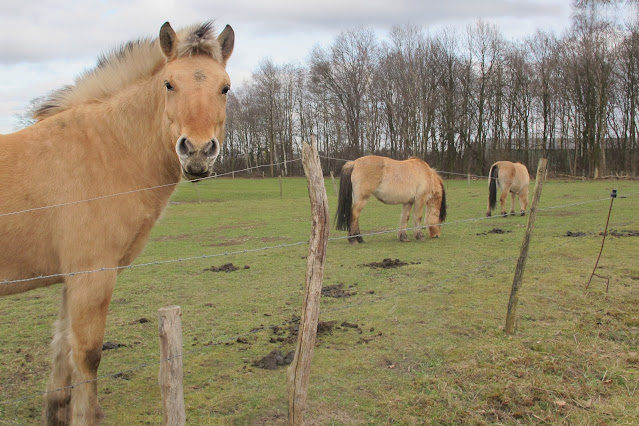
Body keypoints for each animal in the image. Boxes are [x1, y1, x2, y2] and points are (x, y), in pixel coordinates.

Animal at [0, 21, 235, 424]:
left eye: (225, 87)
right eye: (169, 84)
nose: (198, 152)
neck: (103, 151)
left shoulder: (72, 281)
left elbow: (62, 353)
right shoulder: (92, 277)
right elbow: (87, 355)